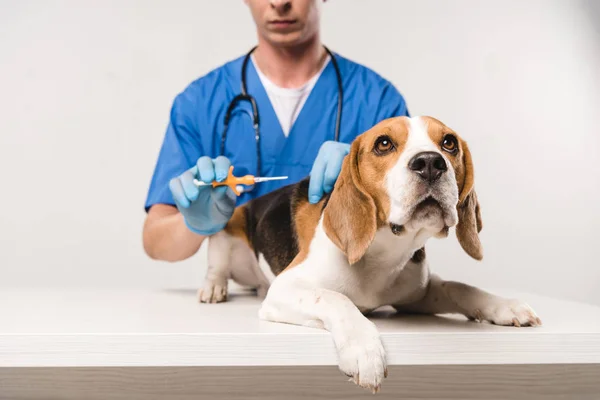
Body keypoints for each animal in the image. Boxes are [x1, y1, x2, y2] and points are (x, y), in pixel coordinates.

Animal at [199, 115, 540, 394]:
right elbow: (336, 298)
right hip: (226, 226)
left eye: (449, 143)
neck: (384, 253)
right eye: (384, 143)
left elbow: (459, 287)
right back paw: (213, 287)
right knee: (217, 263)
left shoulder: (417, 295)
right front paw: (363, 350)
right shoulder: (285, 289)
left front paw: (504, 306)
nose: (431, 163)